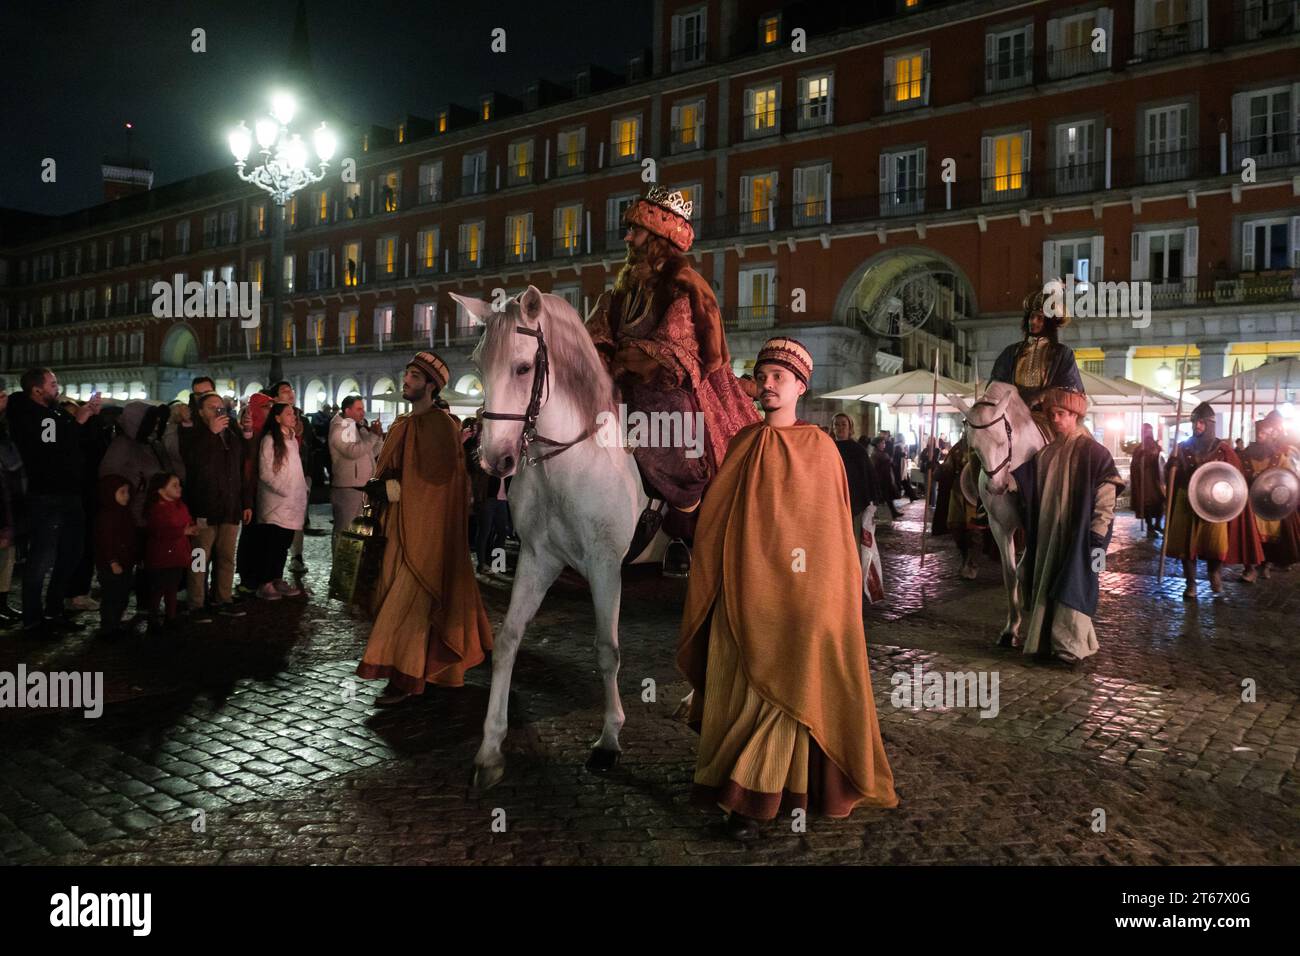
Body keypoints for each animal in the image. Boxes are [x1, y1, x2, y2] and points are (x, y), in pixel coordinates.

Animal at [452, 286, 650, 790]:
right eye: (478, 366)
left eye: (523, 367)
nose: (494, 460)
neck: (572, 460)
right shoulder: (538, 558)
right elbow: (507, 640)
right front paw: (490, 748)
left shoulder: (605, 564)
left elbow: (607, 650)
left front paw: (609, 739)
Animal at [946, 379, 1045, 642]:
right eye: (973, 447)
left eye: (1002, 440)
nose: (996, 487)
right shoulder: (1000, 527)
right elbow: (1010, 574)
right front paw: (1011, 627)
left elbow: (1025, 568)